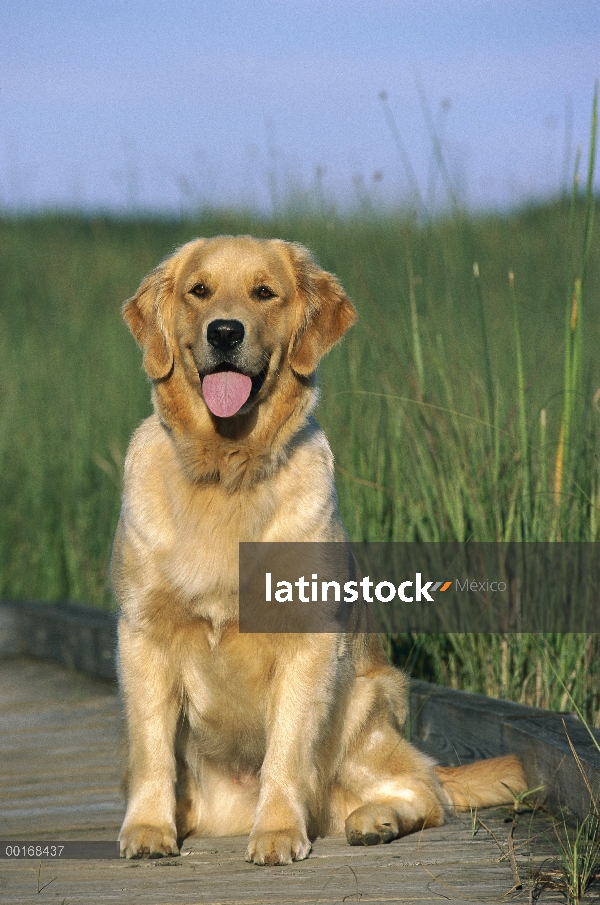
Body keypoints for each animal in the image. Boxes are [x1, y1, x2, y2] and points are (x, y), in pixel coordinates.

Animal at [111, 237, 524, 864]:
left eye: (264, 292)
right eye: (198, 290)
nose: (224, 331)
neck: (227, 472)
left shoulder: (308, 642)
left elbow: (286, 752)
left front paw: (278, 831)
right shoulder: (143, 634)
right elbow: (151, 749)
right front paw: (148, 829)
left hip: (365, 702)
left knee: (425, 790)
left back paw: (377, 819)